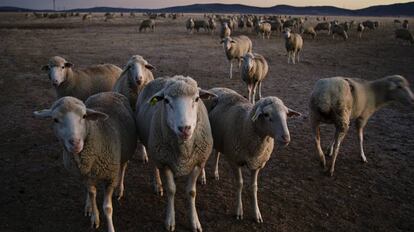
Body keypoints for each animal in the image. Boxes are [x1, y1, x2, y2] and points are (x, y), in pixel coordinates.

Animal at [33, 92, 137, 232]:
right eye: (55, 119)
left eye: (84, 116)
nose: (75, 143)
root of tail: (107, 92)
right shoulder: (86, 176)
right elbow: (92, 194)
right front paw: (94, 217)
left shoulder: (110, 177)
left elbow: (107, 208)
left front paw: (110, 227)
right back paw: (88, 205)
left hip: (125, 152)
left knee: (123, 168)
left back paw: (119, 189)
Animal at [136, 75, 215, 231]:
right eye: (166, 101)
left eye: (197, 99)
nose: (184, 128)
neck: (183, 150)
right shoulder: (164, 162)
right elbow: (171, 190)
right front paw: (170, 221)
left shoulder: (198, 162)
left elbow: (191, 192)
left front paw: (194, 222)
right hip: (152, 146)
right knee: (154, 166)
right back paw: (157, 185)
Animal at [205, 87, 300, 223]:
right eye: (266, 115)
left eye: (287, 115)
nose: (286, 138)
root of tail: (215, 88)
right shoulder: (235, 161)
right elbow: (239, 184)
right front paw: (239, 211)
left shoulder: (257, 163)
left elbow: (254, 187)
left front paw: (256, 213)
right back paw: (202, 177)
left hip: (219, 139)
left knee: (217, 153)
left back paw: (215, 173)